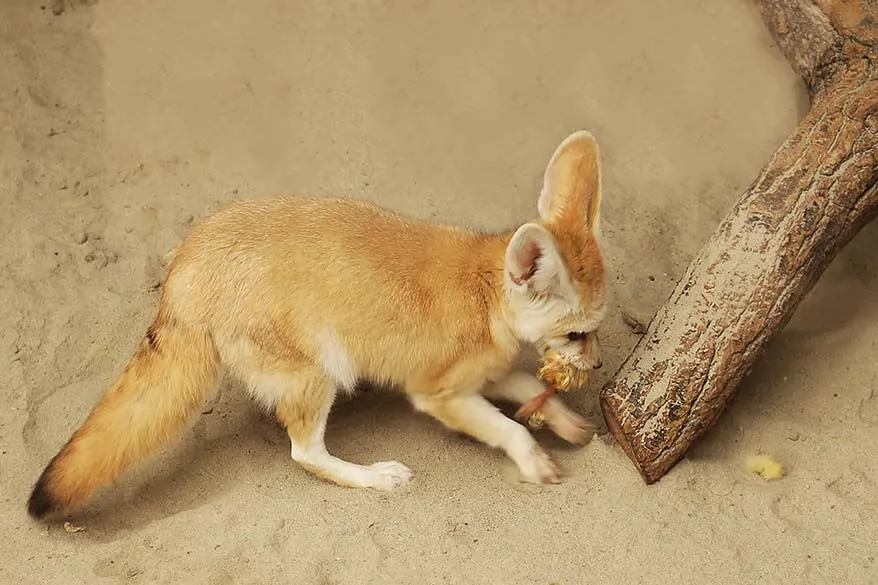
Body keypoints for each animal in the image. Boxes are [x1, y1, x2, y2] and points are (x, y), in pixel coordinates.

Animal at [25, 130, 604, 516]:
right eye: (576, 334)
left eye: (594, 330)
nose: (598, 366)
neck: (486, 291)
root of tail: (185, 275)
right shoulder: (438, 393)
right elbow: (509, 428)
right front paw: (533, 459)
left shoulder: (480, 374)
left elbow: (526, 383)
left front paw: (564, 420)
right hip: (319, 373)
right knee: (304, 454)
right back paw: (372, 477)